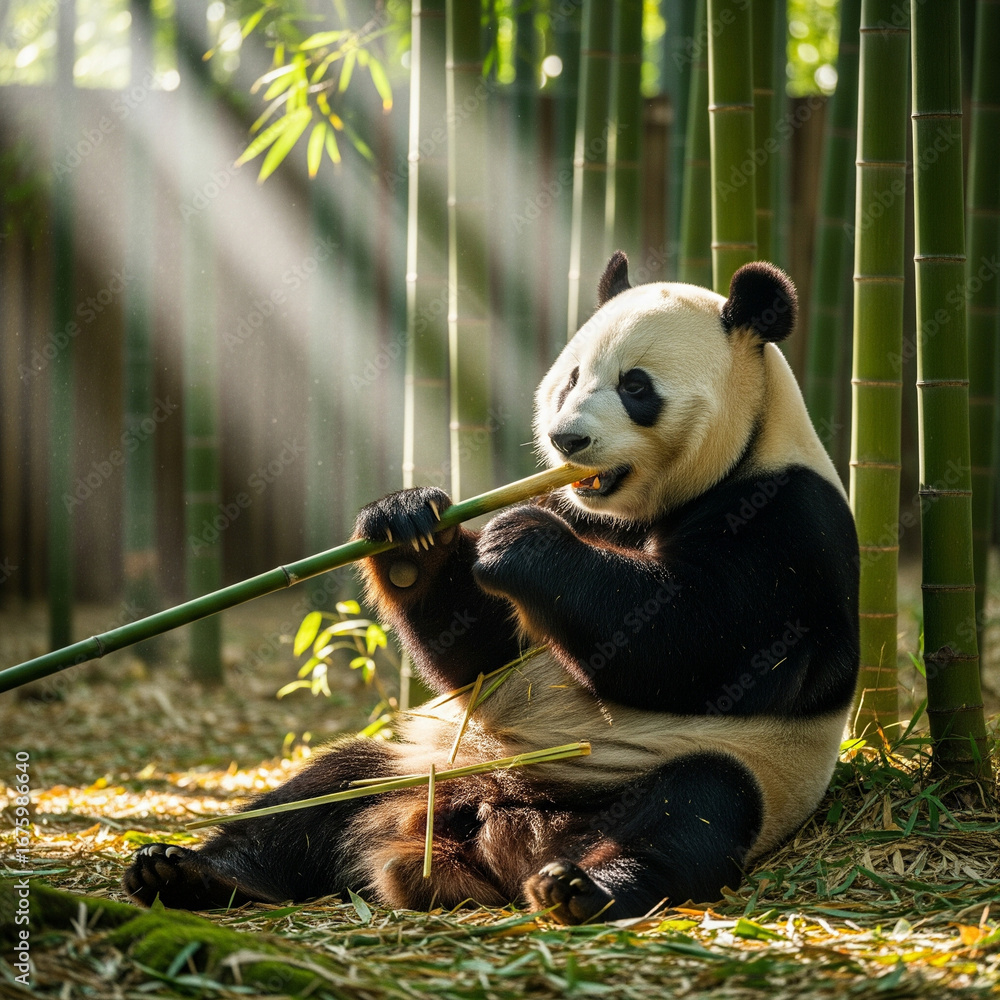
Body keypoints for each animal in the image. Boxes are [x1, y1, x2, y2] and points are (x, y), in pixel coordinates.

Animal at [123, 253, 859, 923]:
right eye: (570, 378)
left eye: (635, 386)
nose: (567, 439)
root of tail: (486, 833)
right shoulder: (578, 507)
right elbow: (486, 658)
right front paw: (407, 528)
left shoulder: (788, 521)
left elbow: (699, 645)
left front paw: (518, 540)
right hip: (422, 764)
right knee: (323, 789)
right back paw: (191, 871)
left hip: (685, 776)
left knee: (697, 807)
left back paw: (583, 889)